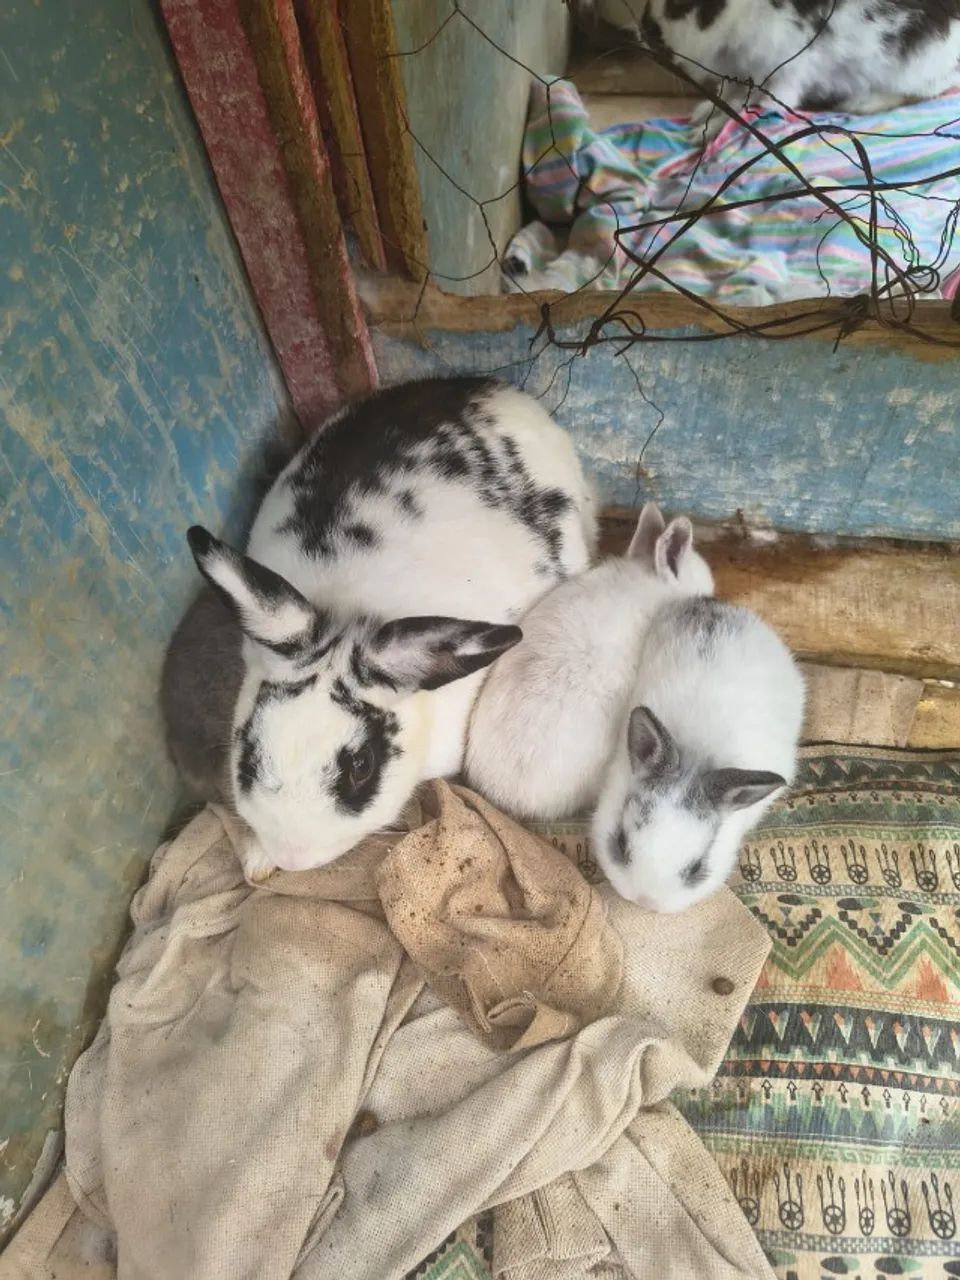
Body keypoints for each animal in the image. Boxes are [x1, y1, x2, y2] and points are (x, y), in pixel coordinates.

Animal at [184, 376, 596, 879]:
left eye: (361, 766)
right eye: (249, 750)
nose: (292, 856)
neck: (349, 615)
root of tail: (493, 388)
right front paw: (259, 860)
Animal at [574, 1, 960, 128]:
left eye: (680, 6)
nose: (646, 34)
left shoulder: (786, 66)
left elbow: (769, 98)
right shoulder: (739, 70)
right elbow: (728, 93)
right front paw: (703, 115)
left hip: (918, 64)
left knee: (927, 90)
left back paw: (861, 103)